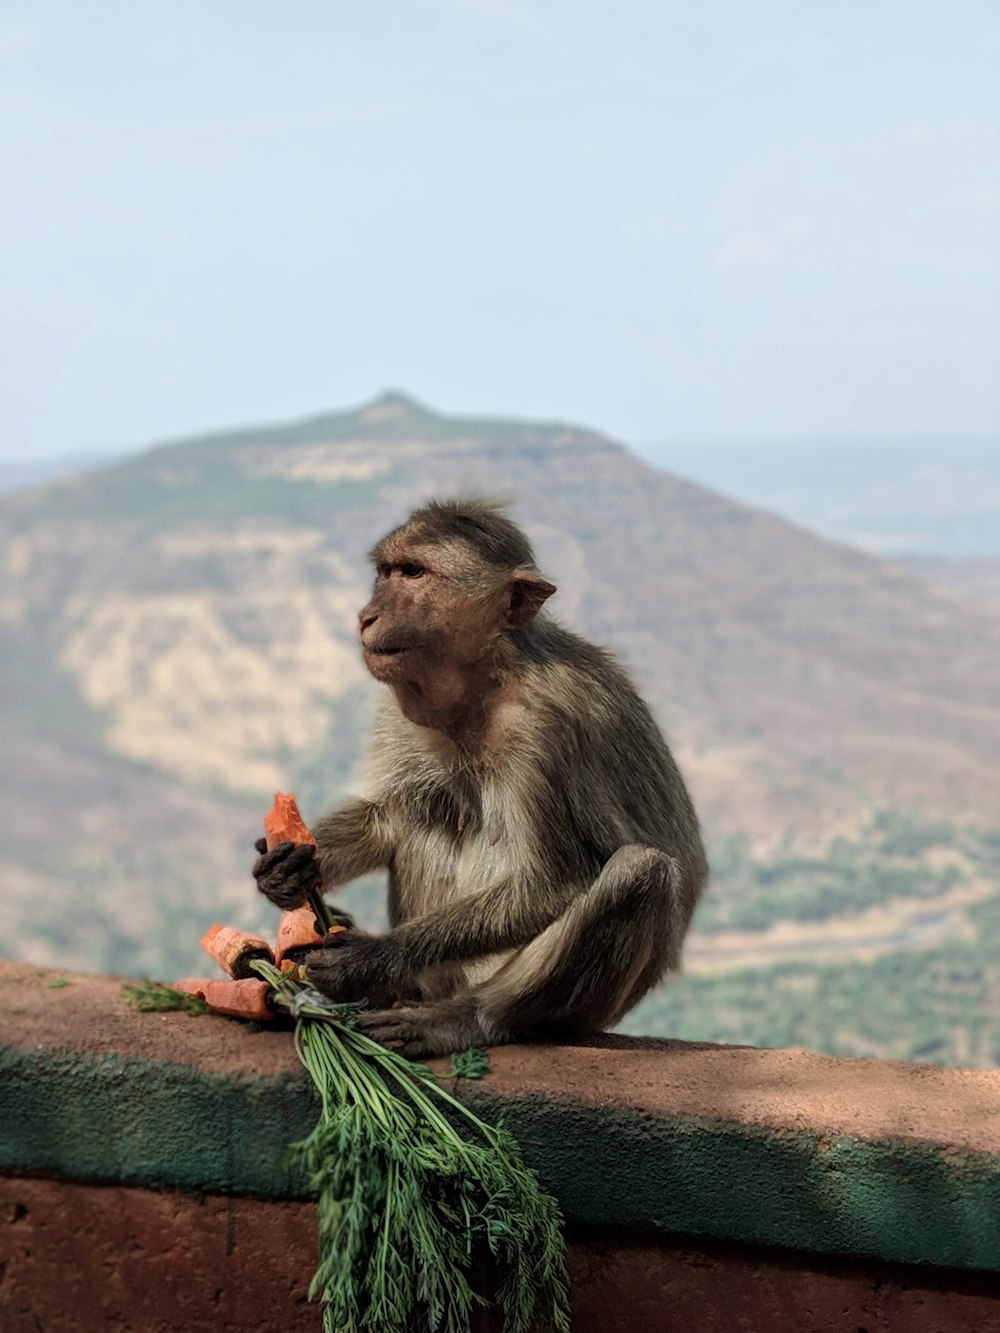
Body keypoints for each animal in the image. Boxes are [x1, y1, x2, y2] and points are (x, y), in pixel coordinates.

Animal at [258, 495, 714, 1055]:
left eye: (414, 573)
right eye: (386, 572)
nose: (367, 616)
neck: (486, 680)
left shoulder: (543, 729)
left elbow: (552, 883)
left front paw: (367, 959)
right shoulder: (404, 709)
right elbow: (390, 815)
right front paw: (291, 867)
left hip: (563, 1001)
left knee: (639, 871)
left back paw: (466, 1018)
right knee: (431, 809)